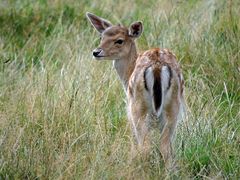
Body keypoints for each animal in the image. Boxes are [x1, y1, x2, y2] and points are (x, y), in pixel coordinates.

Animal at [86, 12, 186, 167]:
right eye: (101, 37)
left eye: (119, 40)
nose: (96, 52)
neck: (127, 74)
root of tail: (157, 67)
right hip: (173, 107)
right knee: (166, 148)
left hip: (137, 108)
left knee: (145, 146)